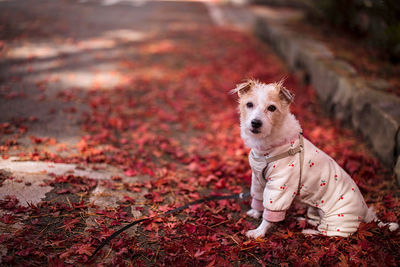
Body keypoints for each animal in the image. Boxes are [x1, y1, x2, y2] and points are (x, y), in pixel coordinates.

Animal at [230, 79, 398, 239]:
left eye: (272, 108)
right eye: (249, 104)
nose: (256, 123)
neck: (269, 146)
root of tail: (364, 212)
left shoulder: (280, 187)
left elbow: (270, 214)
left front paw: (259, 231)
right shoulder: (258, 180)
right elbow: (258, 198)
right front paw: (255, 212)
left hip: (337, 220)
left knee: (329, 234)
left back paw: (308, 232)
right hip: (316, 208)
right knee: (317, 221)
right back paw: (304, 220)